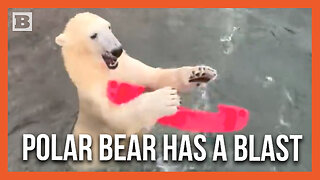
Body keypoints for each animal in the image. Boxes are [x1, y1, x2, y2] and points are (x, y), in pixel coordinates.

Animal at [55, 12, 218, 170]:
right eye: (93, 35)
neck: (104, 71)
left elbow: (155, 77)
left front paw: (199, 73)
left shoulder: (129, 69)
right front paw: (166, 99)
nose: (117, 50)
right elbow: (119, 117)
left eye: (109, 27)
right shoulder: (95, 97)